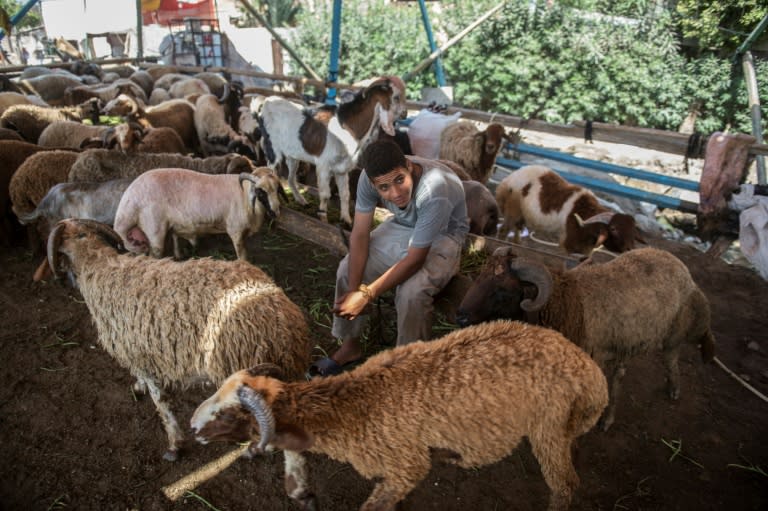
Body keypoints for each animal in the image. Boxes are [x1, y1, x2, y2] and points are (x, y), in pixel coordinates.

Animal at [43, 218, 308, 462]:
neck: (99, 266)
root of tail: (282, 324)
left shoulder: (141, 355)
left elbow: (162, 404)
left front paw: (174, 445)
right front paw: (138, 387)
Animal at [112, 166, 284, 260]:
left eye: (277, 188)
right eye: (261, 192)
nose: (276, 212)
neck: (244, 196)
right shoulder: (236, 230)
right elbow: (242, 256)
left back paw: (179, 255)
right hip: (154, 230)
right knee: (156, 254)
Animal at [190, 320, 608, 511]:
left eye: (228, 414)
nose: (193, 426)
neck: (347, 406)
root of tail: (589, 371)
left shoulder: (406, 465)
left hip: (548, 427)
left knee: (565, 484)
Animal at [452, 246, 716, 430]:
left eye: (502, 291)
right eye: (479, 277)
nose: (461, 316)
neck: (568, 304)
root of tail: (679, 265)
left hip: (674, 333)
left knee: (671, 358)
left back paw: (675, 388)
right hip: (627, 340)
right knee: (621, 372)